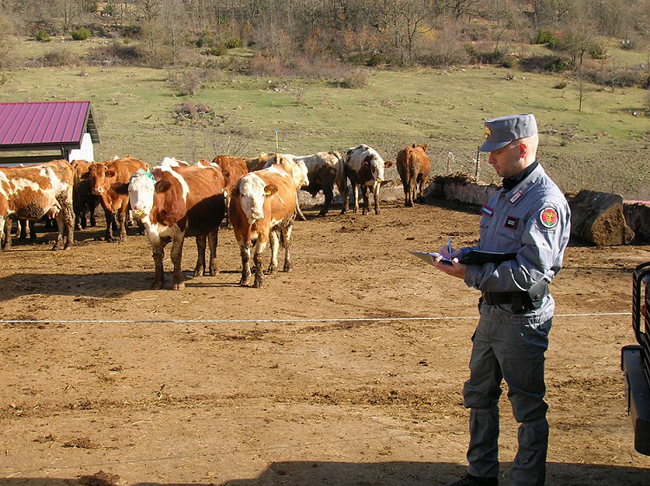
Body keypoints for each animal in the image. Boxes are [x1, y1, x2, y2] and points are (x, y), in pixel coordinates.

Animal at [128, 161, 227, 290]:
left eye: (150, 189)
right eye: (130, 190)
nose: (139, 208)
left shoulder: (179, 231)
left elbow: (175, 255)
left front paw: (178, 282)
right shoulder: (151, 232)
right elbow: (157, 256)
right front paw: (158, 282)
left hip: (213, 225)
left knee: (212, 244)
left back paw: (214, 268)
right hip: (200, 224)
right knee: (201, 245)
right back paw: (199, 268)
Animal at [228, 155, 298, 288]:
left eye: (262, 194)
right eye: (243, 194)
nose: (256, 212)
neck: (248, 224)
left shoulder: (262, 232)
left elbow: (257, 257)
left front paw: (258, 280)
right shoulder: (238, 233)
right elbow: (245, 256)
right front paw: (245, 278)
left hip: (288, 221)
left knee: (287, 242)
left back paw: (287, 265)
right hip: (272, 227)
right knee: (275, 243)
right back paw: (272, 267)